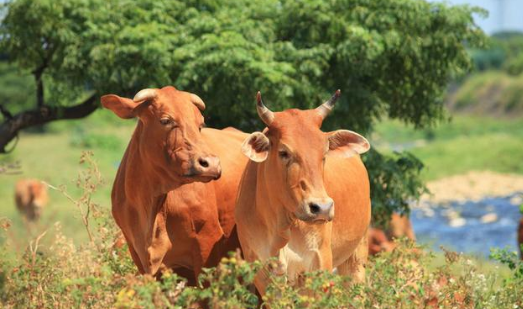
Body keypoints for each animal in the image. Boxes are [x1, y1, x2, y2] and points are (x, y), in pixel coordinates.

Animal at [235, 89, 370, 294]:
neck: (281, 225)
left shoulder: (318, 263)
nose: (322, 208)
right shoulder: (261, 269)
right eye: (284, 152)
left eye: (324, 153)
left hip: (356, 258)